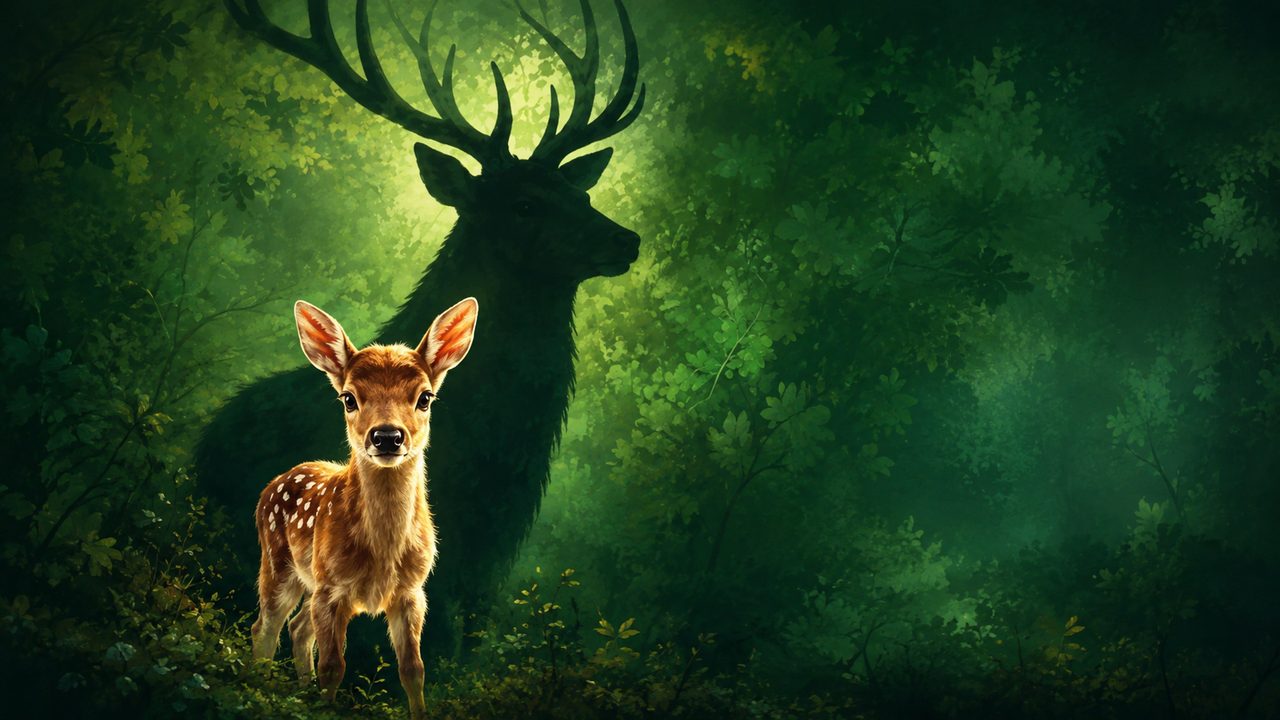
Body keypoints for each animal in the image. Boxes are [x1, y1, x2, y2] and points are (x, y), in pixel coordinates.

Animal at [252, 297, 477, 718]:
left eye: (425, 397)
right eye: (349, 398)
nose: (387, 436)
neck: (382, 554)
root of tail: (273, 483)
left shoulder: (412, 592)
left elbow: (413, 669)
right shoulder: (332, 588)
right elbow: (333, 667)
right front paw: (325, 707)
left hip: (309, 581)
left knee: (298, 628)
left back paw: (299, 695)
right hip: (278, 564)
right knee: (266, 627)